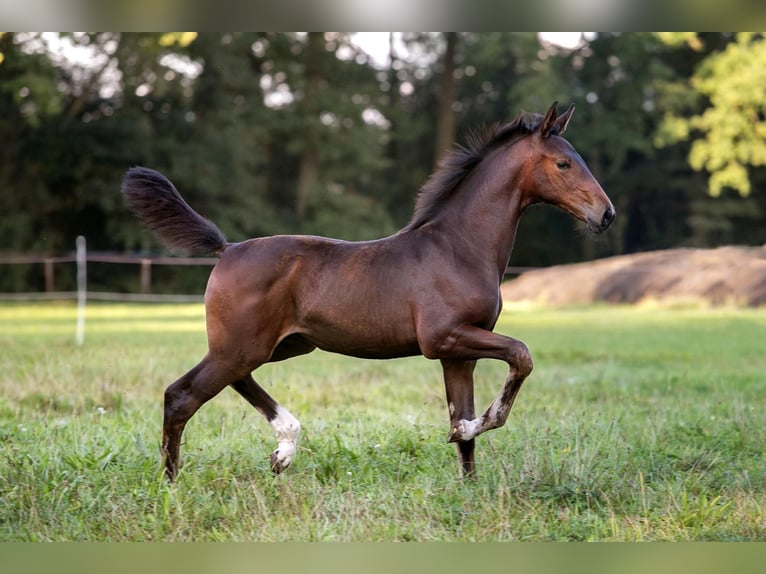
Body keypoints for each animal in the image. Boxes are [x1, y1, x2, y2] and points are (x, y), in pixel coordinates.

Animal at [121, 102, 616, 482]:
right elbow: (521, 356)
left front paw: (470, 484)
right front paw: (478, 427)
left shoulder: (459, 353)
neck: (459, 247)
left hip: (276, 346)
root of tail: (227, 249)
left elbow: (462, 420)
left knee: (231, 381)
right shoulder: (444, 338)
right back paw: (173, 481)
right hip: (243, 346)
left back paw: (283, 447)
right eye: (564, 163)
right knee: (181, 395)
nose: (606, 214)